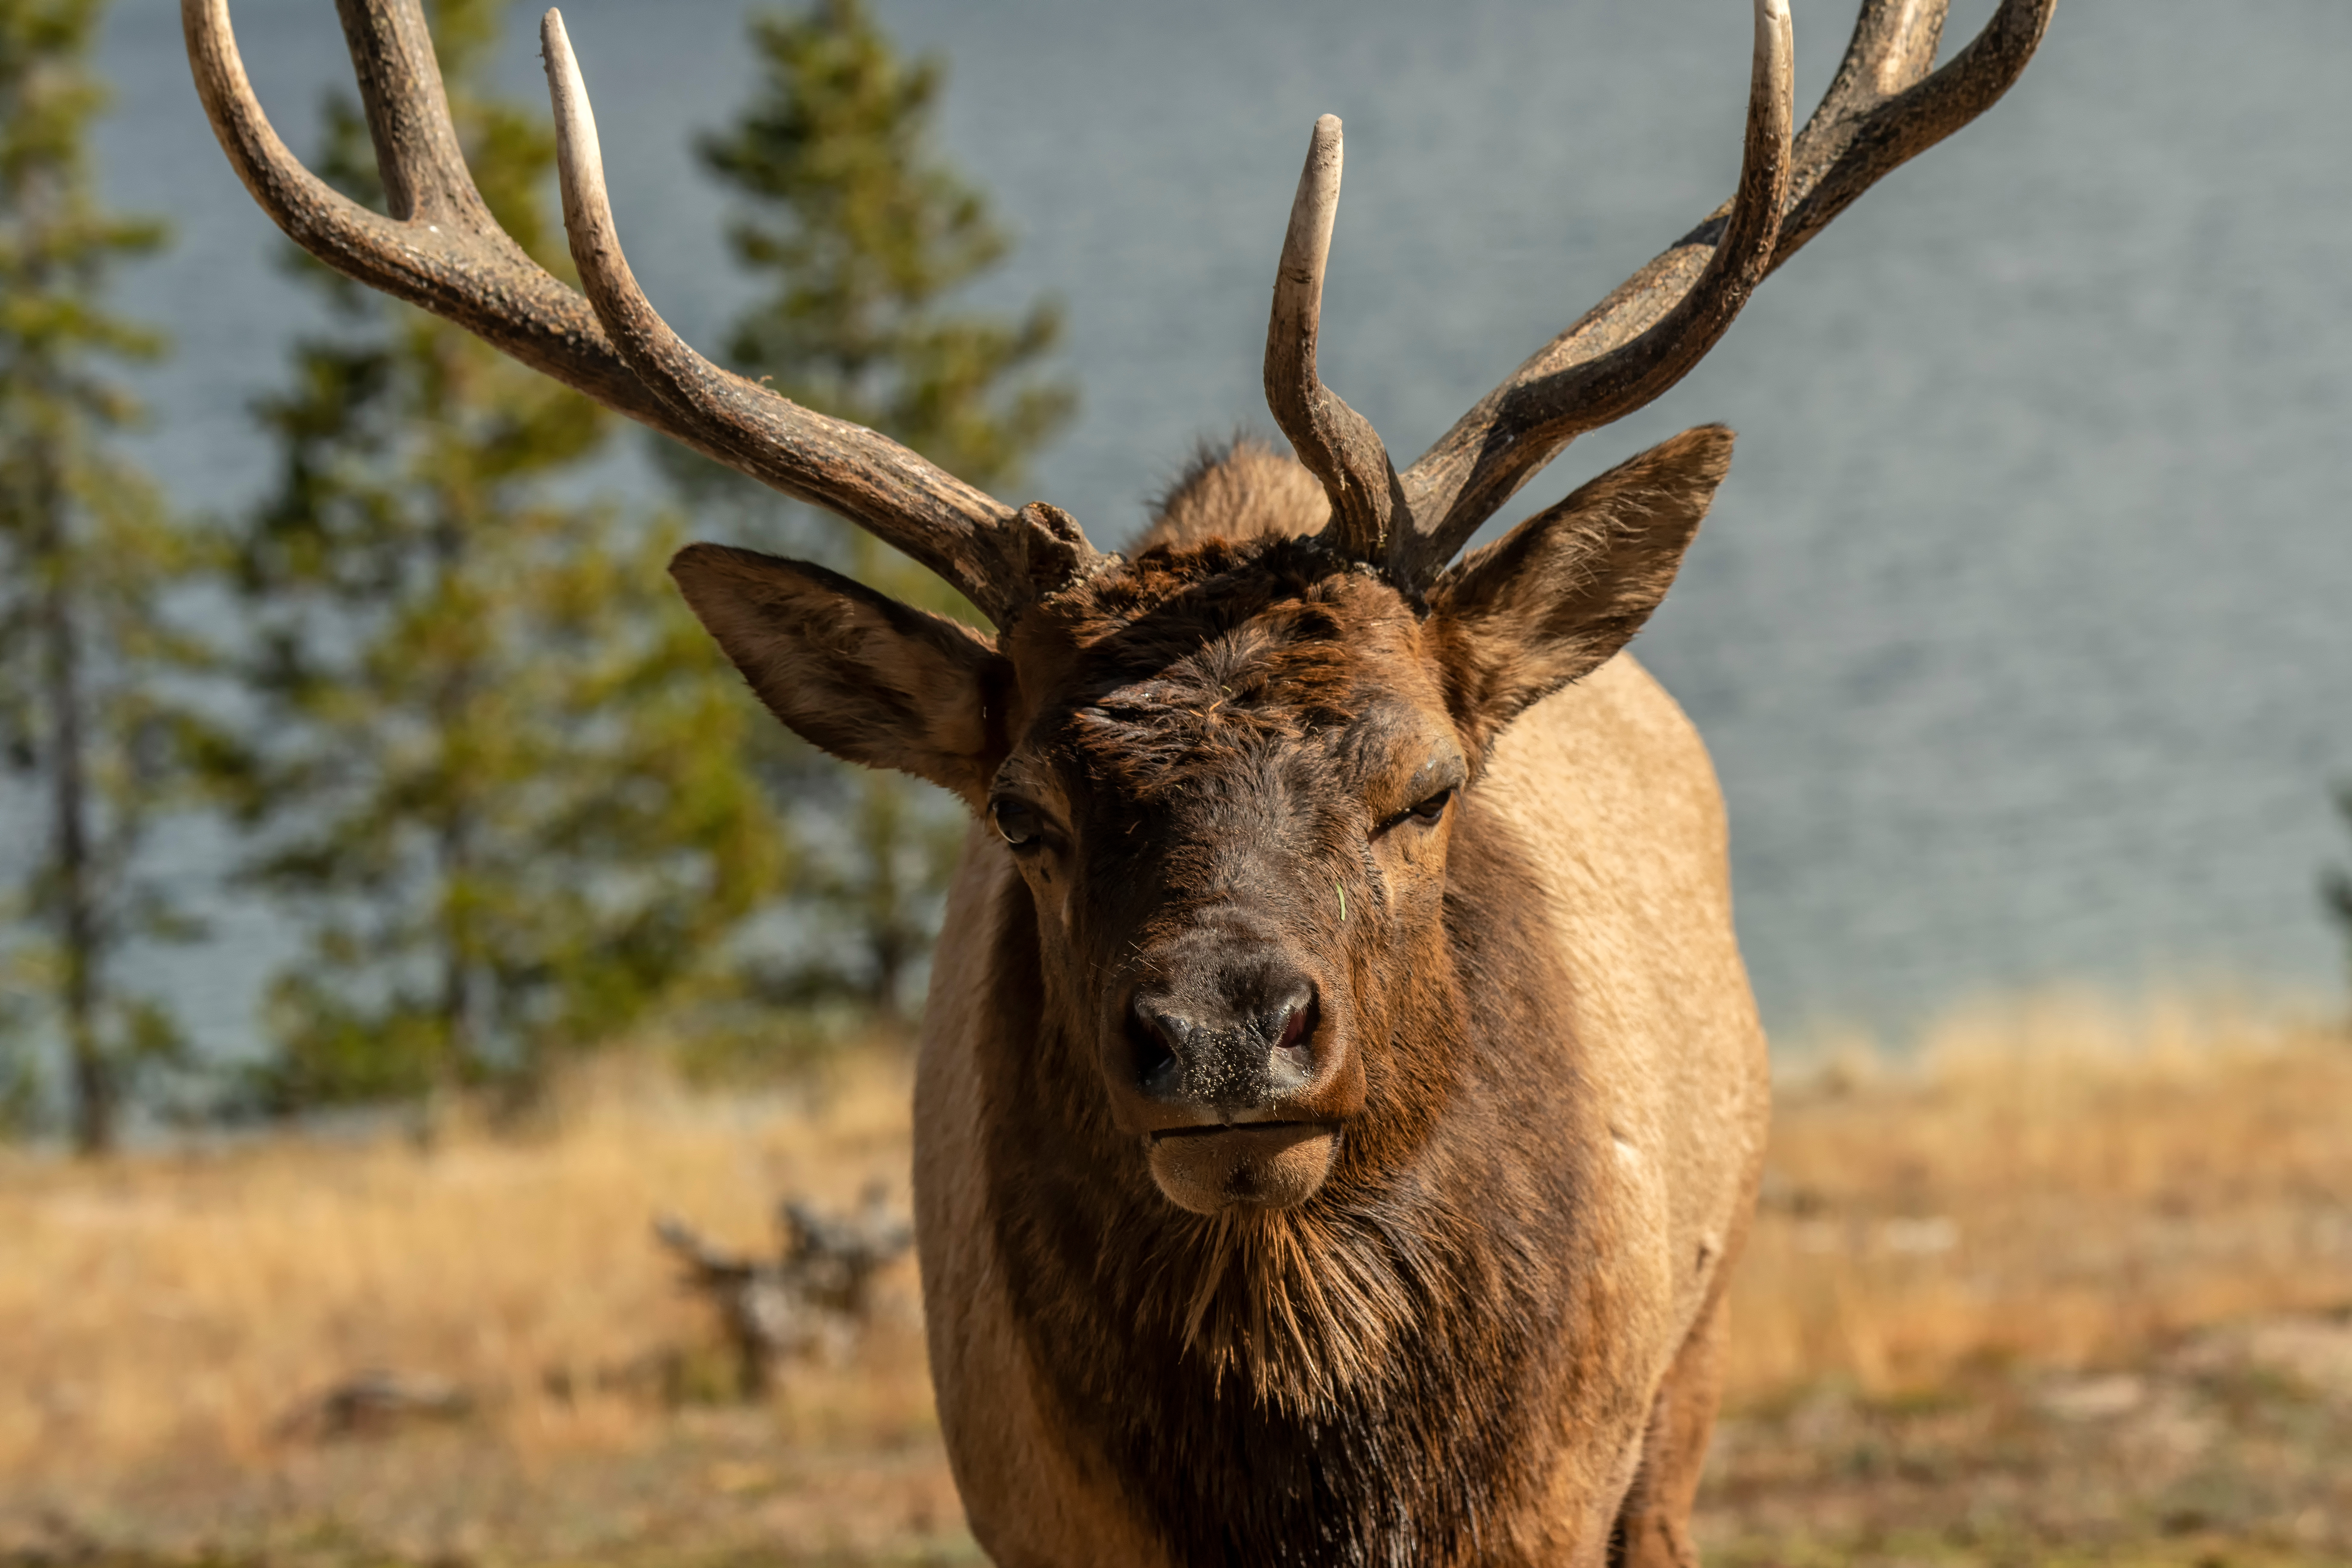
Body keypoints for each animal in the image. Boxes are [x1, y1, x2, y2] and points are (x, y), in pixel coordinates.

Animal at [184, 0, 2054, 1561]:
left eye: (1426, 786)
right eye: (1022, 814)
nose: (1227, 1032)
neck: (1317, 1508)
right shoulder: (1037, 1511)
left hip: (1692, 1366)